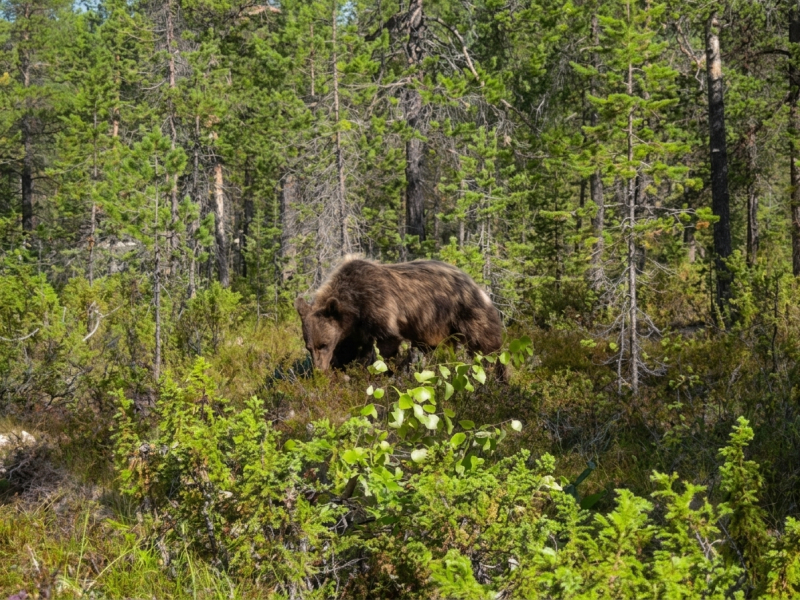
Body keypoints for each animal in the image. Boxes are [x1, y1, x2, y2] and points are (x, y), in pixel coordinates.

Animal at [294, 257, 506, 377]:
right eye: (309, 347)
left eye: (324, 344)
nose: (319, 370)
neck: (354, 306)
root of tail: (475, 283)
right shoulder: (353, 330)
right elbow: (350, 351)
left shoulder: (379, 308)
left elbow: (386, 343)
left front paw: (380, 373)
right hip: (434, 328)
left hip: (467, 313)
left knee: (488, 346)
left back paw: (499, 376)